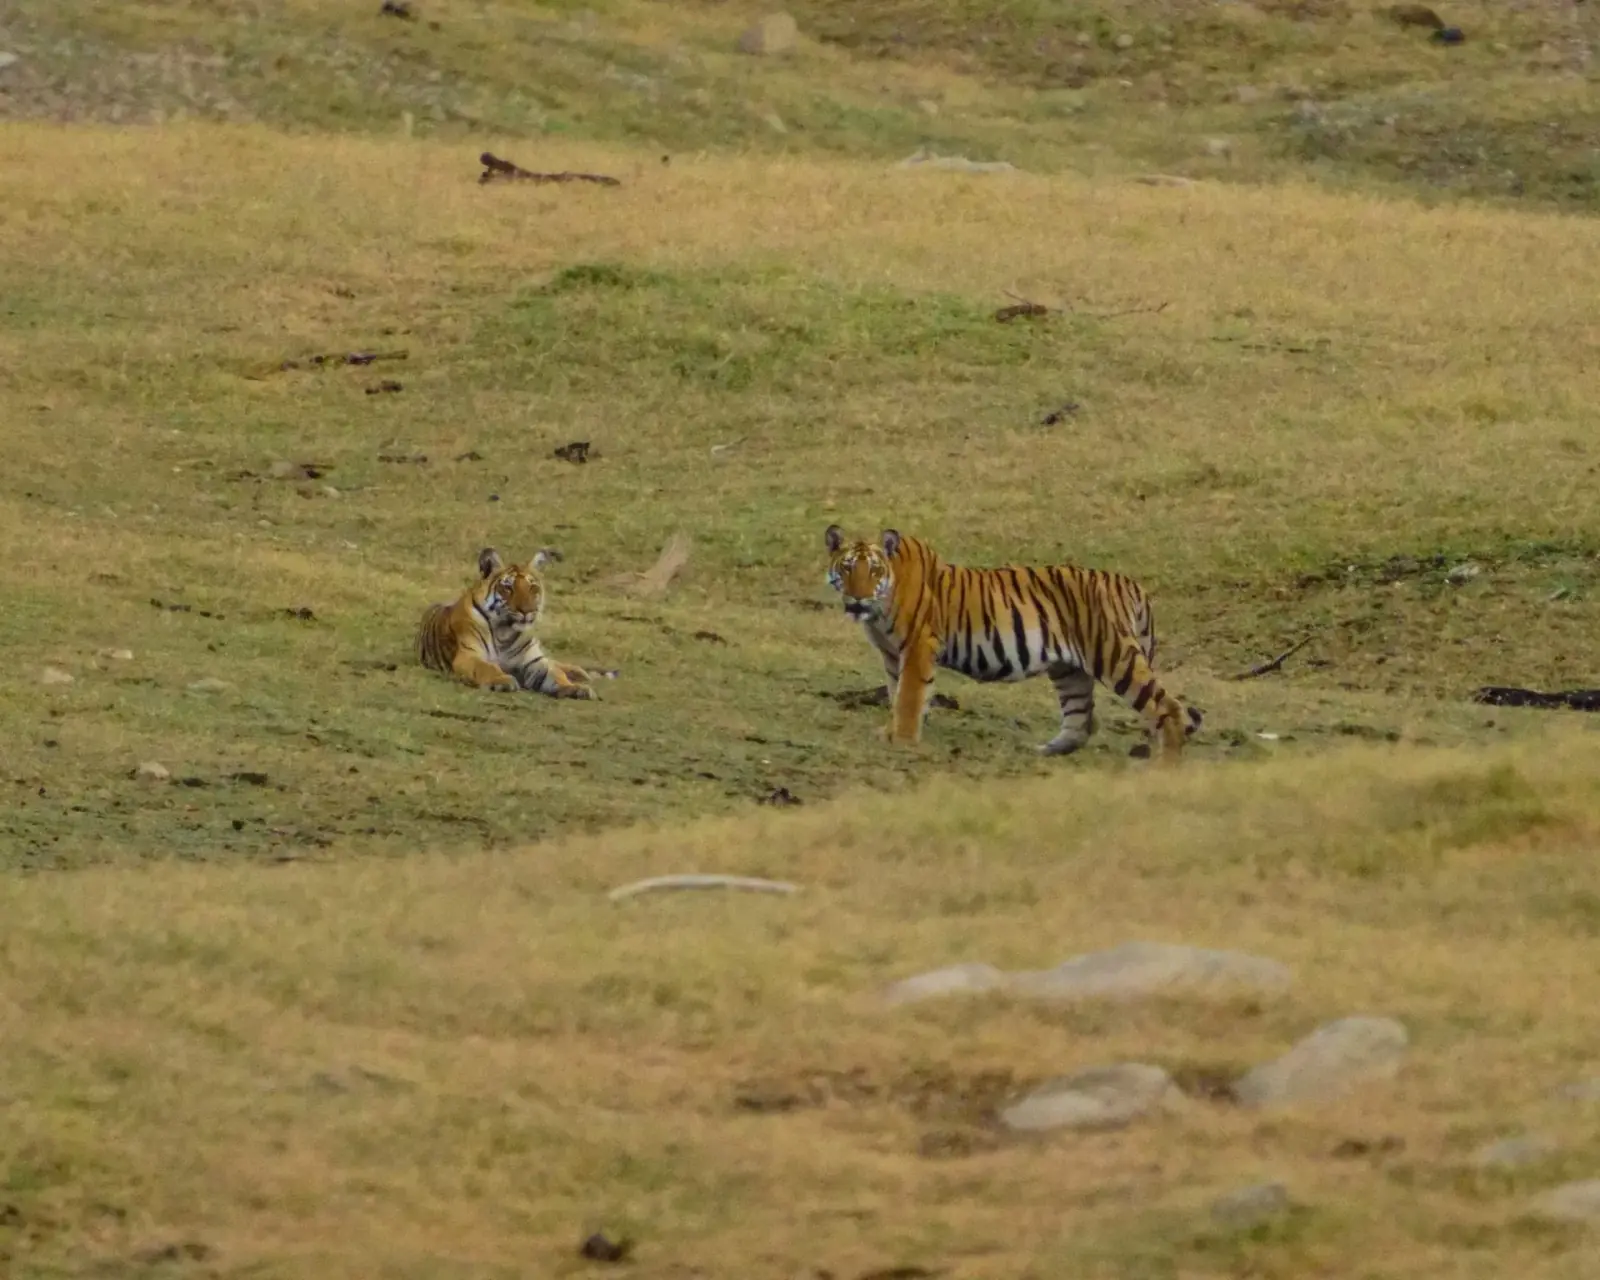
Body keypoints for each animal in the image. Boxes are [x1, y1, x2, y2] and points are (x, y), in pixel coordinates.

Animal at [416, 547, 597, 698]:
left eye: (533, 588)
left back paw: (580, 673)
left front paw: (575, 688)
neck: (505, 631)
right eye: (508, 588)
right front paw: (503, 680)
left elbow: (556, 674)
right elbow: (487, 667)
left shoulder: (534, 660)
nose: (527, 611)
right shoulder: (469, 655)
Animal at [823, 525, 1202, 761]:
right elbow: (897, 692)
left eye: (873, 571)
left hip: (1113, 654)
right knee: (1081, 721)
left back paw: (1165, 768)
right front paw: (893, 731)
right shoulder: (892, 654)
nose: (857, 599)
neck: (879, 608)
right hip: (1069, 670)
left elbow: (908, 697)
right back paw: (1044, 751)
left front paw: (902, 740)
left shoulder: (918, 645)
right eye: (846, 569)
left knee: (1168, 709)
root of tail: (1132, 584)